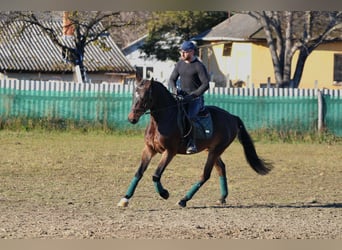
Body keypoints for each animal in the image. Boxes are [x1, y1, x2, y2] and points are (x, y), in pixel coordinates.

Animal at [117, 76, 272, 209]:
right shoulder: (149, 149)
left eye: (144, 97)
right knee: (221, 168)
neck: (161, 120)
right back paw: (222, 197)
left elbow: (156, 175)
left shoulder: (169, 152)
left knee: (205, 175)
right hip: (212, 150)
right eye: (134, 96)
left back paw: (183, 200)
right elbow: (138, 173)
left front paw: (164, 193)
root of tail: (232, 117)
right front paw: (125, 199)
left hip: (215, 150)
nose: (131, 118)